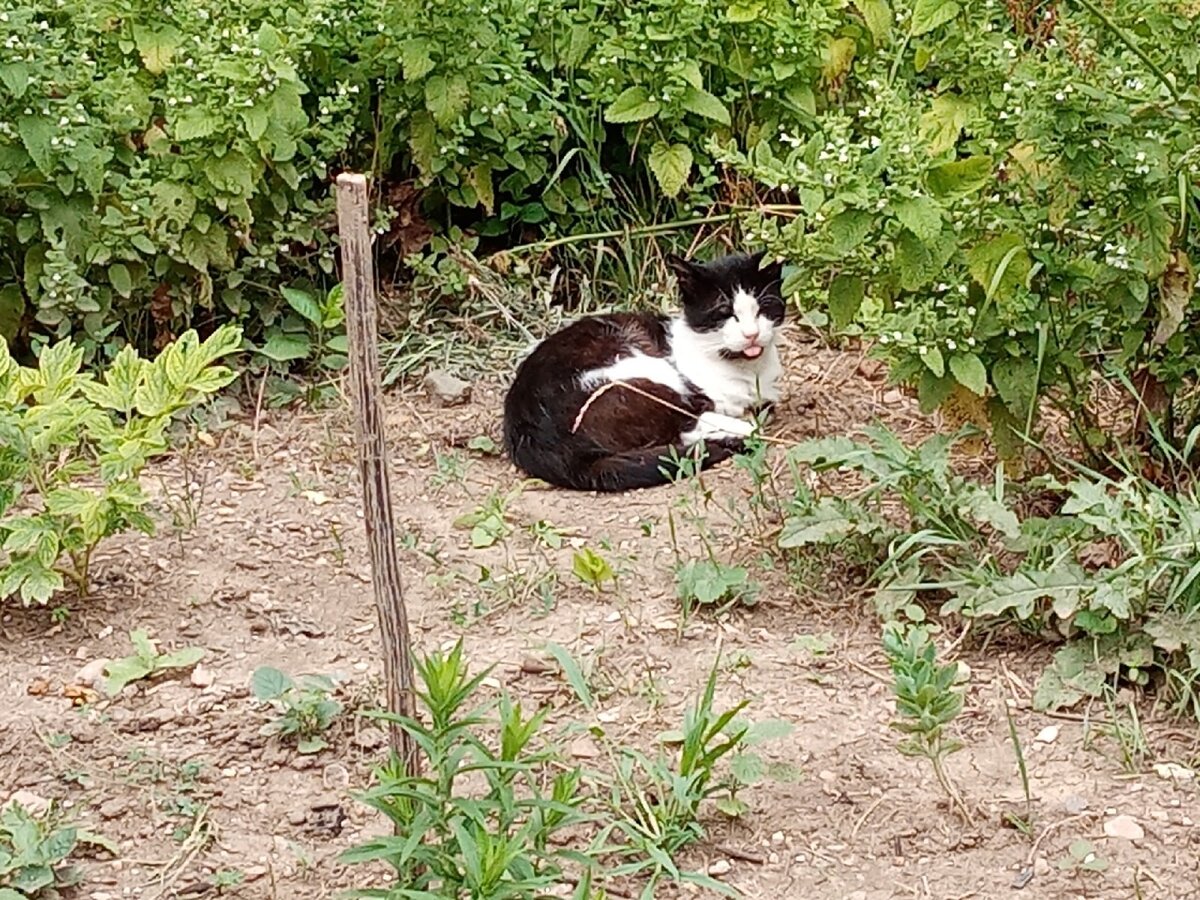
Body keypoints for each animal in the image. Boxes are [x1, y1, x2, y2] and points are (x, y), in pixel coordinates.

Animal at [499, 250, 787, 494]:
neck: (749, 372)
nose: (751, 334)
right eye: (725, 312)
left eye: (762, 308)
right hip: (641, 373)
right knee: (683, 426)